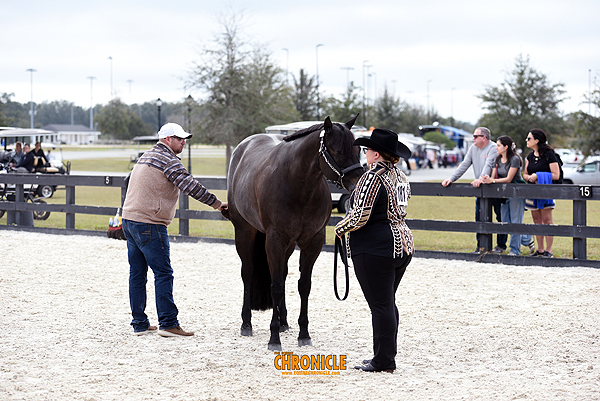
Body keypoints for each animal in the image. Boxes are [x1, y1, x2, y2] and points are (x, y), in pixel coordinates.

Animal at [226, 116, 364, 351]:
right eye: (336, 150)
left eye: (359, 149)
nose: (358, 182)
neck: (298, 184)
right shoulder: (274, 241)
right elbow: (276, 287)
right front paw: (273, 339)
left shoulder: (312, 242)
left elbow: (303, 286)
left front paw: (304, 334)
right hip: (245, 232)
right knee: (248, 273)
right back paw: (246, 324)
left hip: (289, 245)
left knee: (281, 273)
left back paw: (283, 322)